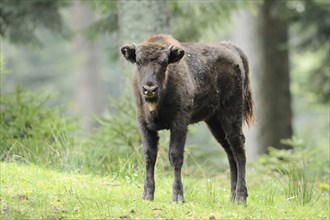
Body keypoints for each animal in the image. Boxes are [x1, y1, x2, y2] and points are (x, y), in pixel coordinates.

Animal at [120, 34, 254, 203]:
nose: (150, 89)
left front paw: (178, 197)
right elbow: (149, 155)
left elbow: (175, 156)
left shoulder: (179, 123)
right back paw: (232, 197)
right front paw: (147, 195)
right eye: (138, 62)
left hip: (231, 114)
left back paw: (241, 197)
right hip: (215, 121)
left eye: (164, 63)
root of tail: (231, 48)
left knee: (238, 149)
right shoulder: (144, 124)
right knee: (229, 151)